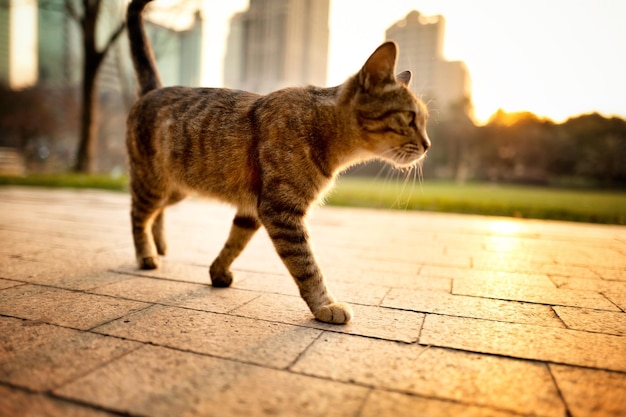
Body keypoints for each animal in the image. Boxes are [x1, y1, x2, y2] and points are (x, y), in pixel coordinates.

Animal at [127, 0, 428, 324]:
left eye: (425, 121)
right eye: (410, 118)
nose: (428, 145)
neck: (321, 128)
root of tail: (153, 89)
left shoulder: (253, 209)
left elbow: (235, 242)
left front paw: (217, 271)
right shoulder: (281, 211)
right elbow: (307, 266)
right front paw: (325, 305)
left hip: (177, 189)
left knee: (155, 214)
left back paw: (159, 245)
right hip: (152, 183)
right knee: (138, 215)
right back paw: (146, 255)